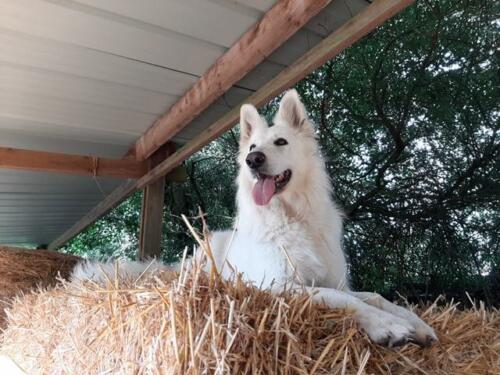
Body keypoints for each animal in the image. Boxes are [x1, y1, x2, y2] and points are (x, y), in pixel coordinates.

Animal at [72, 89, 436, 348]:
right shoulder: (279, 285)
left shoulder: (333, 280)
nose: (253, 160)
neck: (293, 216)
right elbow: (341, 299)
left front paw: (417, 322)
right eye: (252, 147)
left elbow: (373, 295)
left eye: (281, 142)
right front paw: (387, 325)